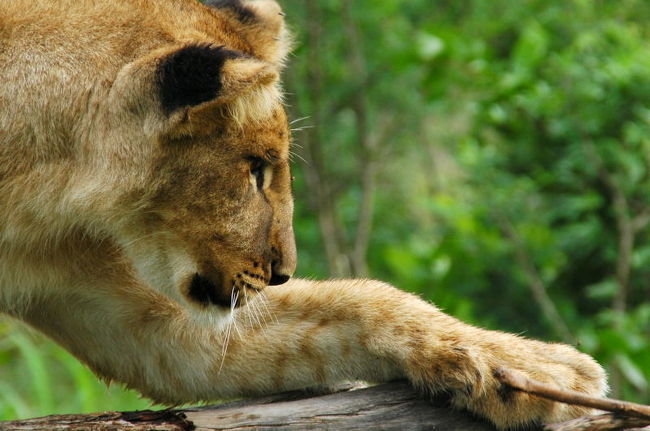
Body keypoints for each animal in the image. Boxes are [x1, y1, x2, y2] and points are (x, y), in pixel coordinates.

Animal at [1, 0, 608, 428]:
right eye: (255, 169)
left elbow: (362, 301)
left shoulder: (124, 311)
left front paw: (534, 370)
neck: (34, 181)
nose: (281, 272)